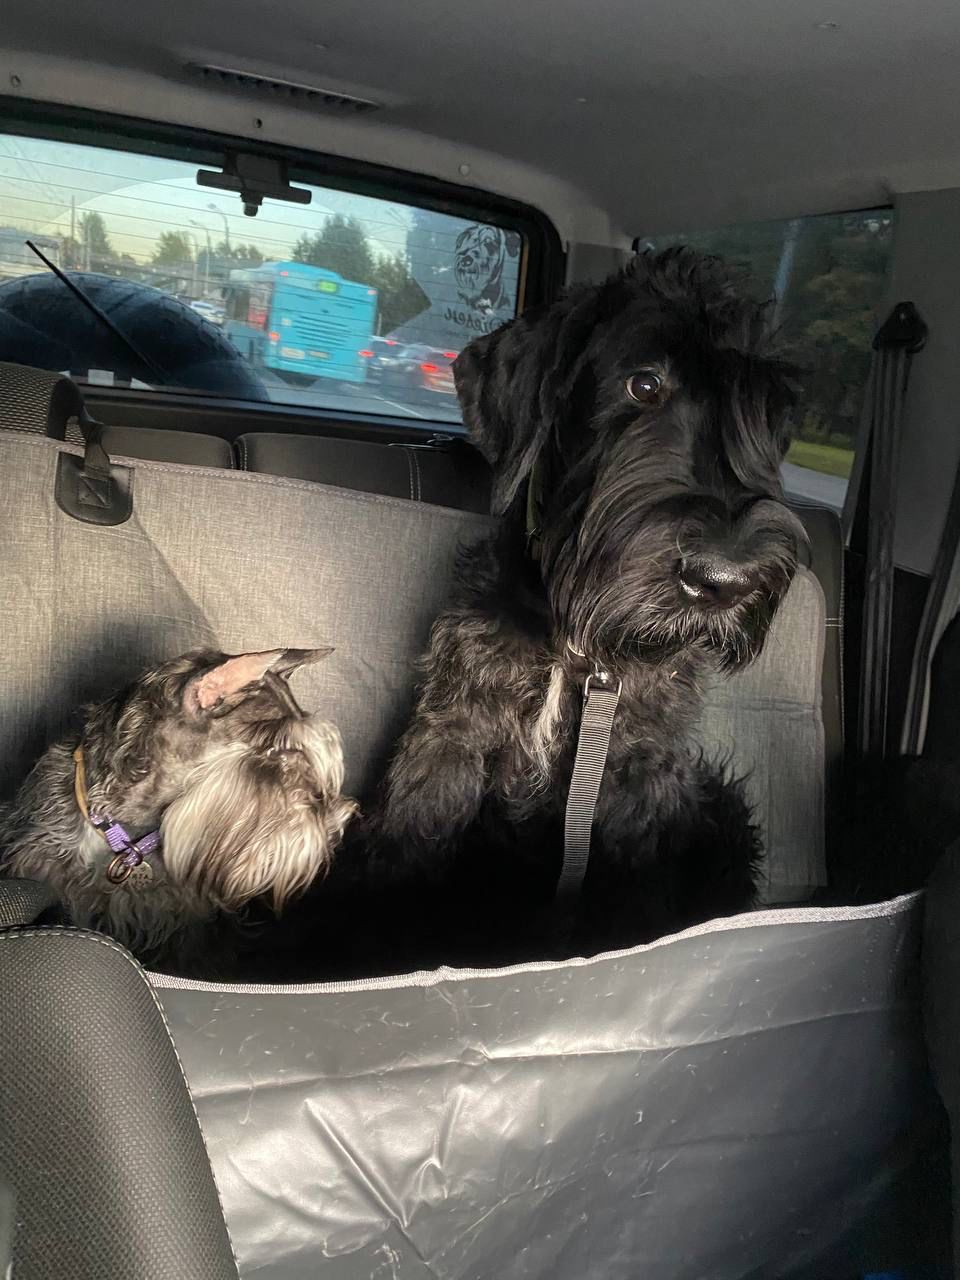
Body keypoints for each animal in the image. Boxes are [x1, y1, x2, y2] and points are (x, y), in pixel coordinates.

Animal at [367, 249, 806, 961]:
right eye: (644, 386)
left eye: (766, 413)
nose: (728, 581)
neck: (576, 646)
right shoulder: (452, 733)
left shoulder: (640, 768)